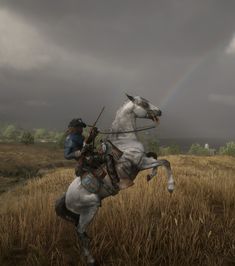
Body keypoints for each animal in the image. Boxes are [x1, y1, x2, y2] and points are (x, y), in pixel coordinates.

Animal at [56, 94, 174, 264]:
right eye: (143, 103)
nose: (159, 111)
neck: (124, 140)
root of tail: (66, 198)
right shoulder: (139, 163)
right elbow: (165, 162)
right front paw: (171, 187)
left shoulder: (143, 160)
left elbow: (156, 157)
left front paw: (150, 176)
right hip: (90, 209)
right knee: (80, 232)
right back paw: (91, 259)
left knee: (80, 233)